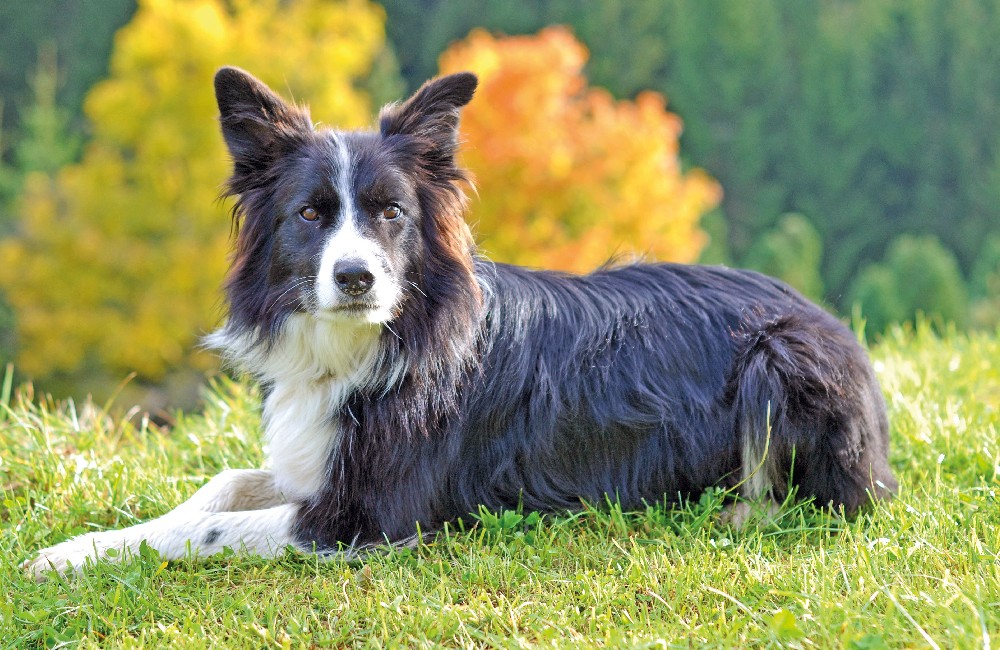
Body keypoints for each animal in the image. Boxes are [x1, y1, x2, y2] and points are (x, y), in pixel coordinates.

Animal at [25, 68, 900, 576]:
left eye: (391, 213)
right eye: (310, 214)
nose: (355, 278)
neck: (375, 341)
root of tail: (835, 328)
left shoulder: (367, 520)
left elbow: (207, 534)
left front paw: (71, 554)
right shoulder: (323, 462)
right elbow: (219, 487)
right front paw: (87, 542)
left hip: (779, 359)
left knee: (823, 500)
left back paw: (732, 510)